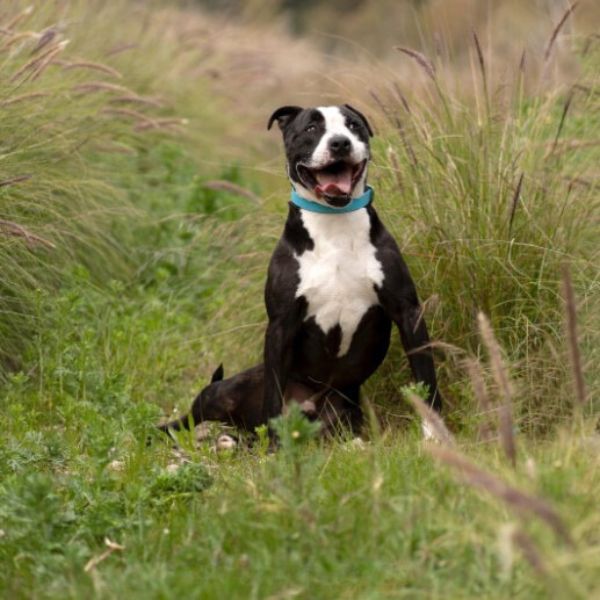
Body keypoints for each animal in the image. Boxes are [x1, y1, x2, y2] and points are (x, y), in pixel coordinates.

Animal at [264, 104, 442, 436]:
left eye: (353, 125)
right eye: (311, 128)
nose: (340, 143)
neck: (334, 222)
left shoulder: (408, 310)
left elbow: (426, 376)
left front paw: (435, 434)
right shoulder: (279, 325)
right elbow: (273, 398)